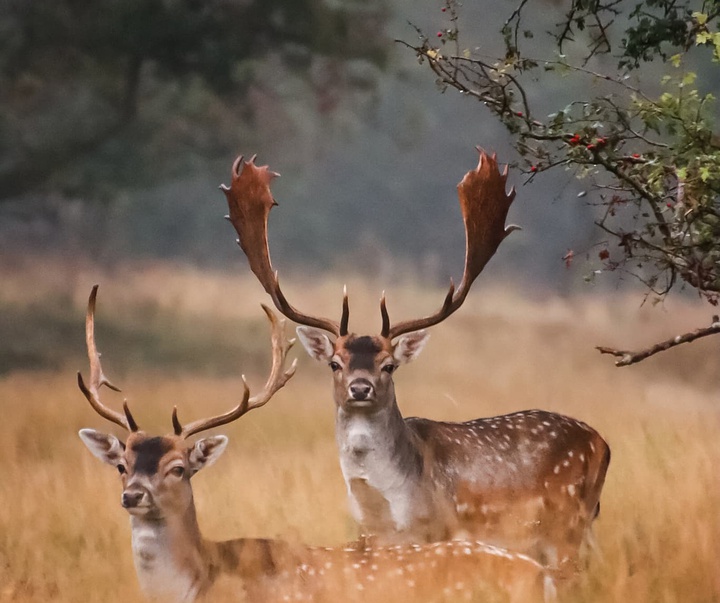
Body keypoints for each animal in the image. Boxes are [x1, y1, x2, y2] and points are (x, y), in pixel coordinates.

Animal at [221, 147, 612, 572]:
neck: (389, 511)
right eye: (335, 363)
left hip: (567, 523)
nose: (361, 388)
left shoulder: (439, 532)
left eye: (389, 365)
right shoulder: (371, 540)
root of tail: (602, 444)